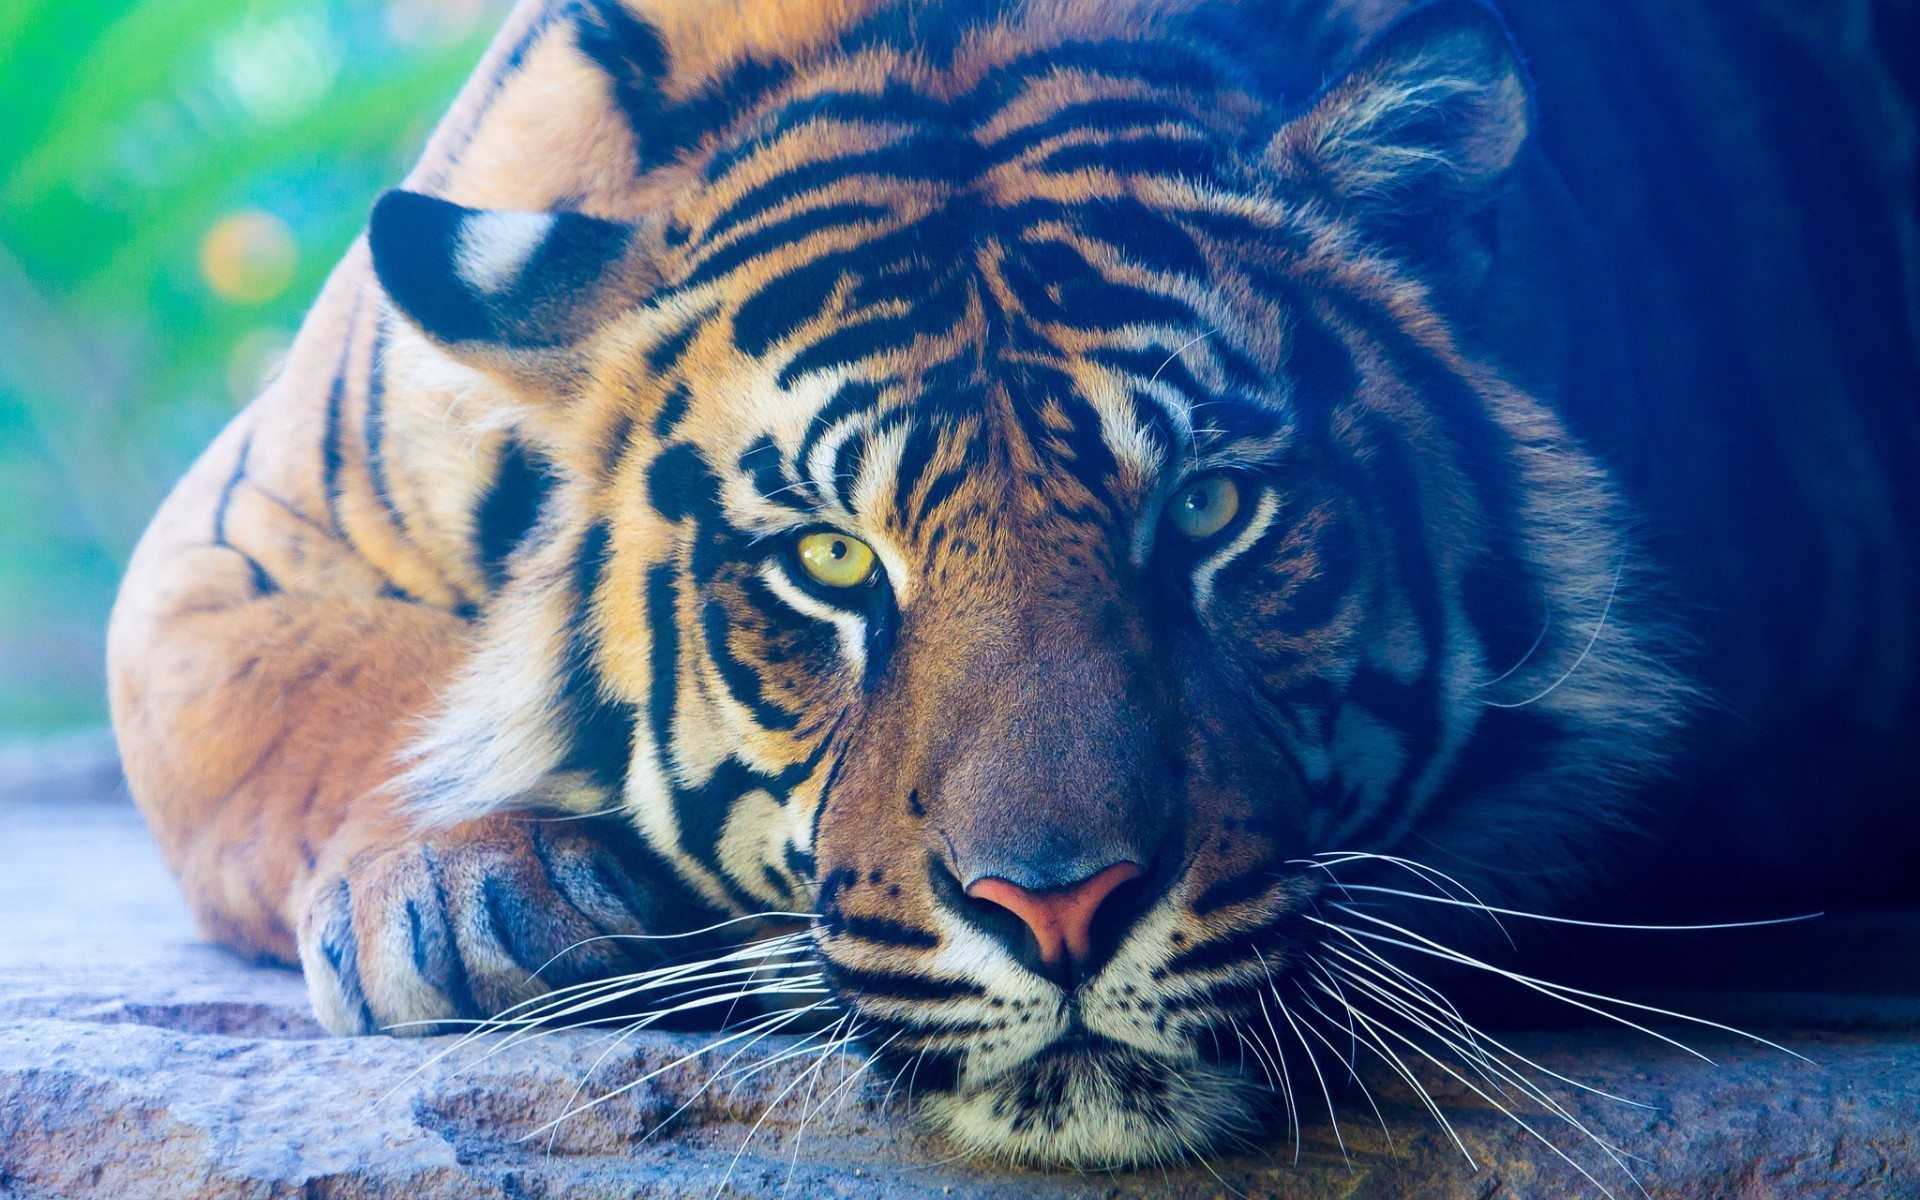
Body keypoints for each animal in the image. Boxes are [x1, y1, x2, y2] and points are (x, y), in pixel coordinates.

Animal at [108, 0, 1920, 1172]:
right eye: (831, 558)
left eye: (1211, 507)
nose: (1061, 913)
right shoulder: (217, 553)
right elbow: (350, 693)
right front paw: (472, 898)